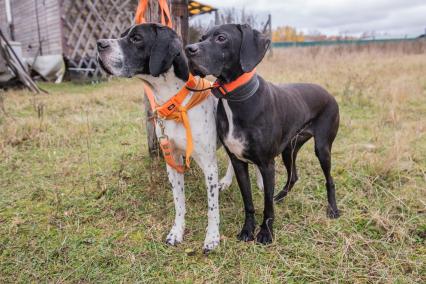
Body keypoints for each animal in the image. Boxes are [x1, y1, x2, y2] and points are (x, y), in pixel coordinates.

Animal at [97, 23, 262, 252]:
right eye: (123, 35)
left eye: (136, 38)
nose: (99, 44)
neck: (176, 104)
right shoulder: (172, 162)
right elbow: (179, 202)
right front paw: (177, 231)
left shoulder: (209, 166)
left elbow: (212, 208)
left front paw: (212, 238)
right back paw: (227, 181)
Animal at [185, 23, 342, 244]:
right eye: (202, 38)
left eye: (221, 38)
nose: (188, 49)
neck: (235, 97)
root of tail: (328, 93)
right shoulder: (238, 162)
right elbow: (248, 202)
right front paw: (247, 230)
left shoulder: (267, 165)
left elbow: (267, 206)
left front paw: (266, 232)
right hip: (289, 149)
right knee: (293, 176)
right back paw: (281, 197)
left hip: (322, 148)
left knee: (330, 180)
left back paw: (333, 209)